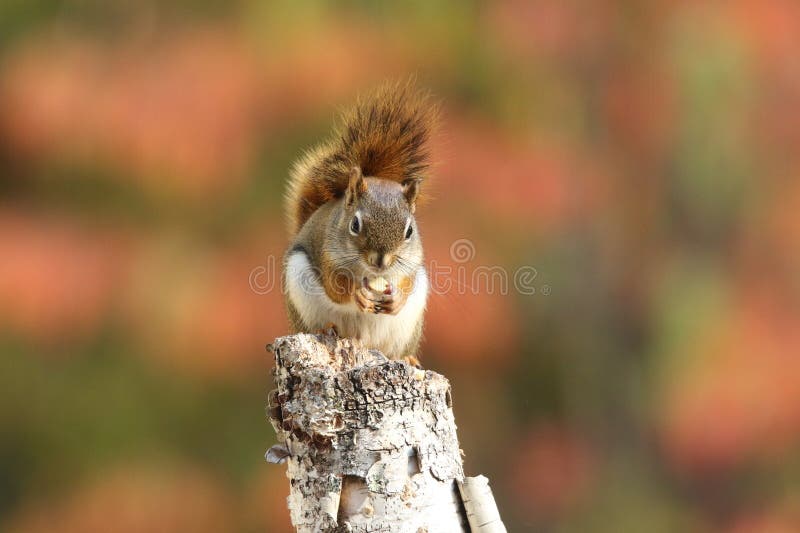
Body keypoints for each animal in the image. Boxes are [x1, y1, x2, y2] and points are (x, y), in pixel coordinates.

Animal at [282, 82, 438, 364]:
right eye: (355, 225)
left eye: (409, 230)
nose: (381, 261)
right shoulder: (328, 255)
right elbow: (335, 286)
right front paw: (357, 294)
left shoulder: (412, 263)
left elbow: (406, 283)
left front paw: (396, 297)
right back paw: (327, 328)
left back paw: (407, 358)